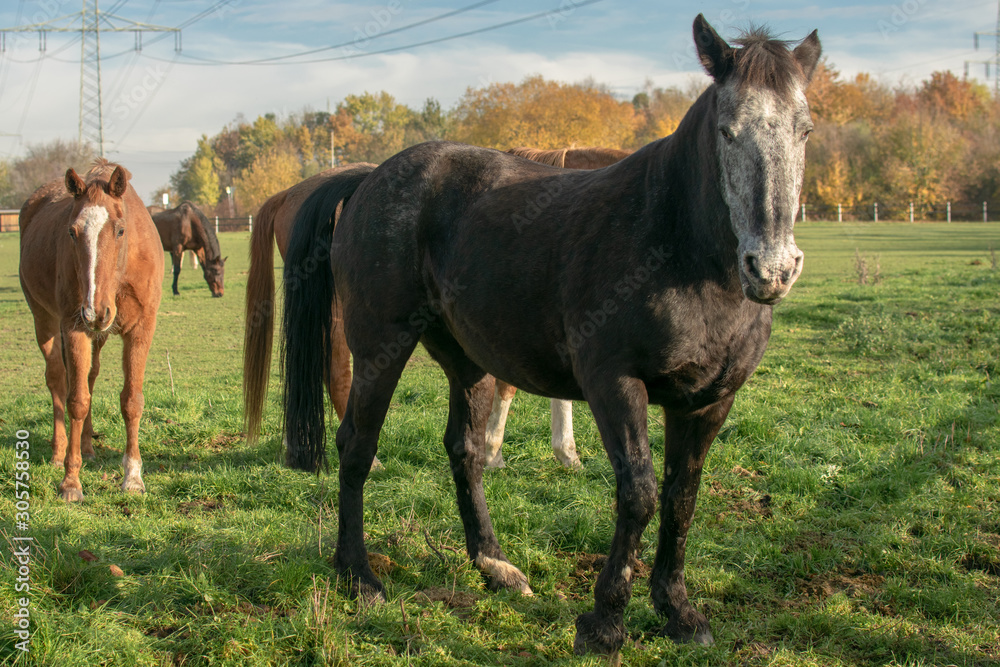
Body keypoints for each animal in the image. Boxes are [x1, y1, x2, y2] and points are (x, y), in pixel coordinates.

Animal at [19, 160, 164, 500]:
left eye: (120, 229)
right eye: (72, 232)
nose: (95, 311)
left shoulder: (141, 329)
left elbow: (131, 401)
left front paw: (133, 477)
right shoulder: (75, 328)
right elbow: (77, 401)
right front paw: (71, 481)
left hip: (96, 335)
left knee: (90, 376)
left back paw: (88, 447)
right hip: (45, 320)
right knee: (58, 379)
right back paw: (59, 453)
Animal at [282, 15, 820, 656]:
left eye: (805, 129)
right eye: (726, 130)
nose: (773, 269)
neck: (676, 246)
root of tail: (370, 178)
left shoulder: (709, 400)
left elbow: (681, 499)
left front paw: (679, 612)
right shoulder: (614, 385)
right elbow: (639, 493)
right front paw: (605, 622)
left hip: (467, 360)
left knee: (464, 451)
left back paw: (494, 566)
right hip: (378, 351)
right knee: (357, 447)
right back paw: (358, 576)